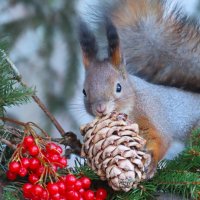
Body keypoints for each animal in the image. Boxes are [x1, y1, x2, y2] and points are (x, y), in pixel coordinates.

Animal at [77, 0, 200, 178]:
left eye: (119, 87)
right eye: (84, 92)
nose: (100, 108)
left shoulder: (152, 115)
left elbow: (161, 139)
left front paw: (152, 164)